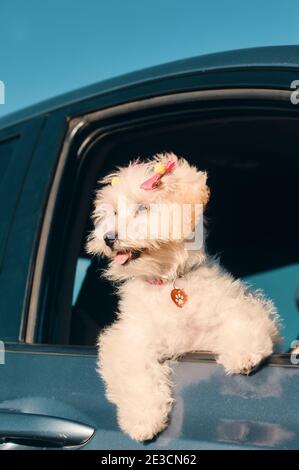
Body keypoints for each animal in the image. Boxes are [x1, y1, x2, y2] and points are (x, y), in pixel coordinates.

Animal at [86, 153, 282, 440]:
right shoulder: (128, 338)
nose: (108, 238)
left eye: (142, 208)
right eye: (113, 211)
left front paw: (244, 353)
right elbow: (135, 373)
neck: (168, 282)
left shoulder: (233, 305)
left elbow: (242, 318)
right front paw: (143, 418)